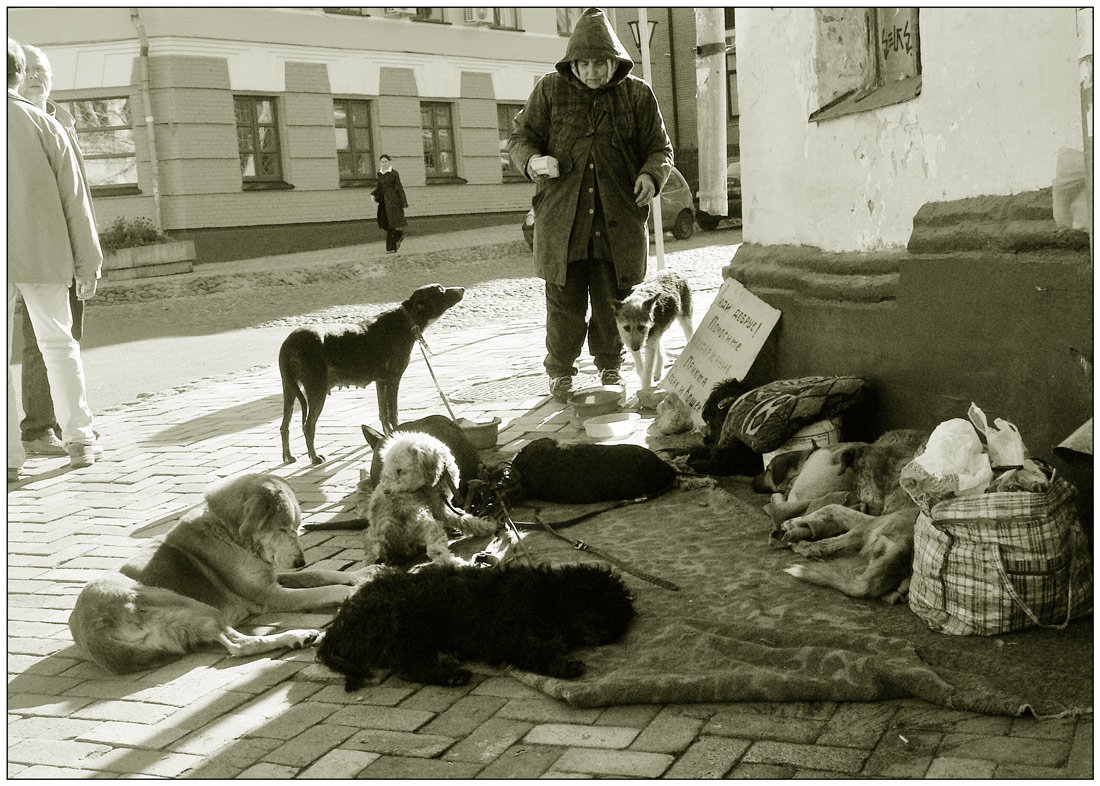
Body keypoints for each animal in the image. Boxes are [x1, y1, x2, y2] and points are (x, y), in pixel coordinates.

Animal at [69, 472, 369, 677]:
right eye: (283, 529)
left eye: (297, 527)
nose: (299, 560)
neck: (230, 532)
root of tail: (90, 631)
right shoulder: (270, 595)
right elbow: (323, 590)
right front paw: (355, 589)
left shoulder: (270, 579)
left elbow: (321, 573)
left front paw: (363, 572)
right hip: (188, 604)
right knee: (239, 645)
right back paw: (297, 636)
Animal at [279, 283, 464, 463]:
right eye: (440, 290)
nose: (462, 289)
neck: (406, 319)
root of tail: (289, 342)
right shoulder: (393, 379)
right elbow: (393, 413)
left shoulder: (380, 381)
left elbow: (383, 414)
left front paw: (387, 438)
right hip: (316, 390)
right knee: (308, 425)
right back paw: (314, 457)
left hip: (289, 389)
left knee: (284, 426)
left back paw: (288, 456)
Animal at [314, 567, 638, 690]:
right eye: (601, 605)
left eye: (621, 617)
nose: (608, 635)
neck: (547, 595)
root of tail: (337, 627)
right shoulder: (503, 634)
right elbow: (532, 648)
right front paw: (563, 665)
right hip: (400, 619)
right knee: (408, 666)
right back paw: (450, 674)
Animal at [363, 430, 497, 567]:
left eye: (399, 470)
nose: (386, 491)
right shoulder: (440, 507)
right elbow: (463, 518)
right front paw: (486, 526)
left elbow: (463, 517)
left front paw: (485, 527)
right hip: (428, 524)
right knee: (436, 552)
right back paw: (458, 564)